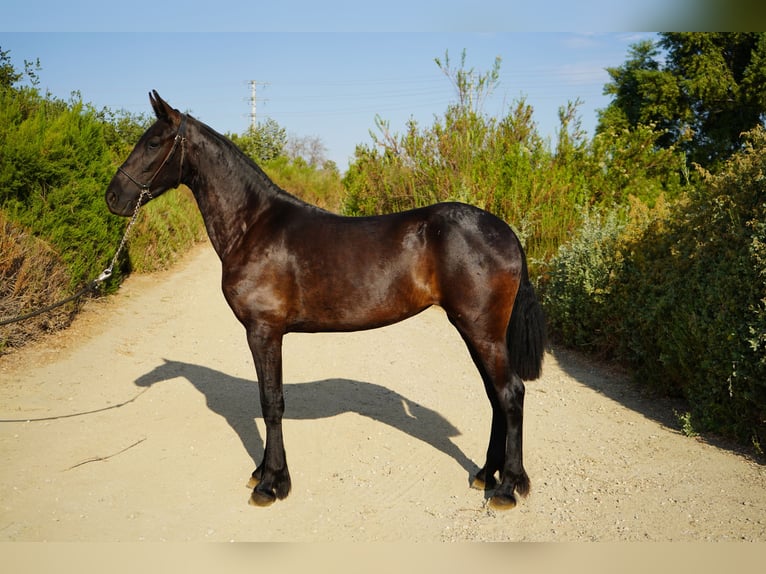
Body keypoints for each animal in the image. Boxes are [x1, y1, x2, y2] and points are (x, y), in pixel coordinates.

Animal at [106, 91, 546, 509]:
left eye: (153, 142)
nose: (113, 197)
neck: (253, 225)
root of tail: (505, 232)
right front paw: (263, 472)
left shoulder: (263, 331)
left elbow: (271, 403)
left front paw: (271, 484)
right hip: (476, 330)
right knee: (495, 396)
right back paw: (486, 475)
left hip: (480, 330)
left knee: (510, 394)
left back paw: (508, 487)